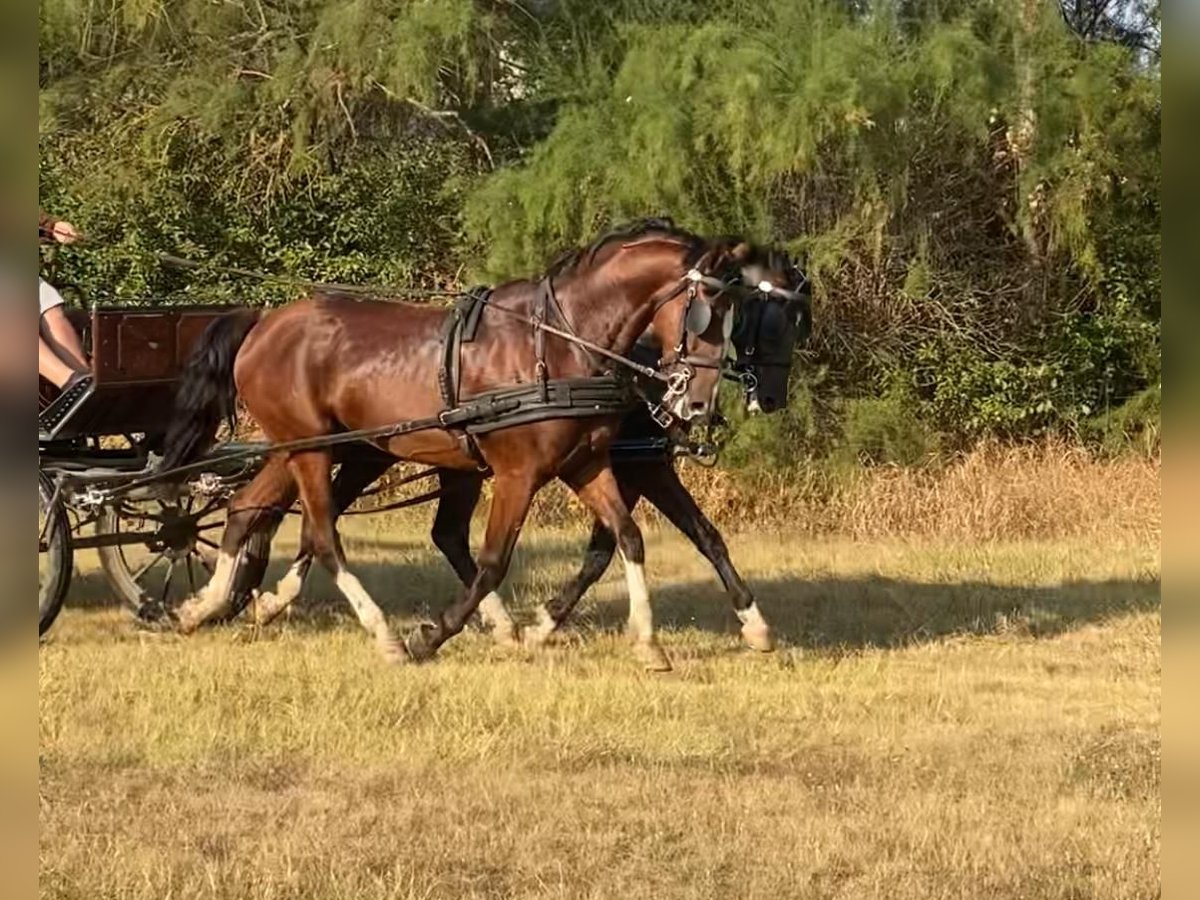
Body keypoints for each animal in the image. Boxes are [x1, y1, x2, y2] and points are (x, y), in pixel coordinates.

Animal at [162, 219, 748, 672]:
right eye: (706, 308)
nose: (699, 401)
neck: (557, 344)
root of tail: (263, 322)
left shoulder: (585, 463)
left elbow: (628, 537)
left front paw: (648, 643)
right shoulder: (518, 475)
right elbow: (493, 560)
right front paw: (432, 635)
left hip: (305, 447)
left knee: (246, 509)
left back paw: (203, 607)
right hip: (313, 450)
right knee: (323, 534)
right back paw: (384, 634)